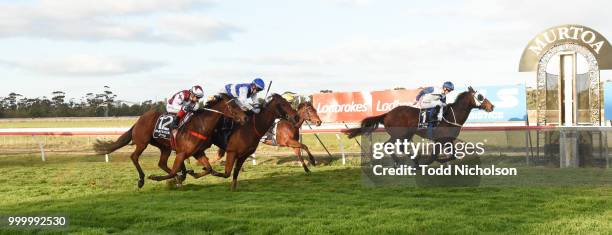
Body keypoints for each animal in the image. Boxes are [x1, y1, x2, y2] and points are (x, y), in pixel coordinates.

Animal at [93, 93, 246, 187]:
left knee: (161, 163)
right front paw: (156, 177)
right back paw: (142, 179)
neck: (200, 125)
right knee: (134, 157)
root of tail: (138, 120)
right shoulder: (182, 153)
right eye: (233, 106)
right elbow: (174, 171)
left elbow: (208, 169)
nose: (245, 117)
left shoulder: (197, 152)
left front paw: (192, 174)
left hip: (165, 147)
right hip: (142, 142)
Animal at [342, 87, 494, 166]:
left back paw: (412, 160)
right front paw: (429, 162)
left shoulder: (448, 139)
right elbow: (435, 155)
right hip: (400, 134)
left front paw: (440, 160)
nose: (492, 106)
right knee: (389, 145)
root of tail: (387, 114)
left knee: (399, 146)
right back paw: (404, 161)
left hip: (406, 134)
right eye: (480, 96)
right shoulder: (440, 140)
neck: (451, 116)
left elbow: (453, 155)